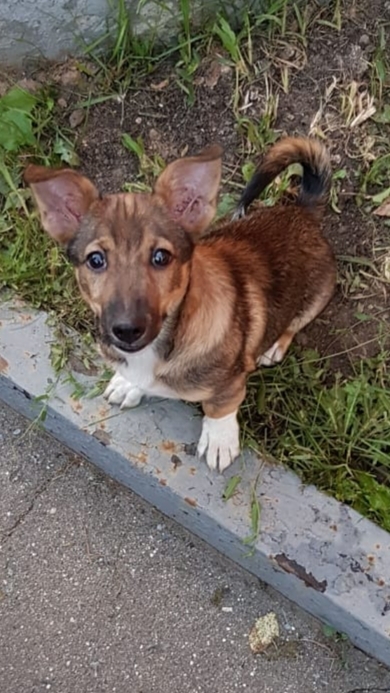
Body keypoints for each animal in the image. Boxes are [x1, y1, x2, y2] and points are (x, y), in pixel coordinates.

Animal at [24, 139, 336, 476]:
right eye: (95, 260)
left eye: (161, 257)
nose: (127, 331)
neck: (165, 343)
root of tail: (303, 210)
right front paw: (128, 383)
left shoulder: (231, 382)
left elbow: (220, 408)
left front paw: (219, 441)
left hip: (316, 299)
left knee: (293, 325)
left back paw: (274, 346)